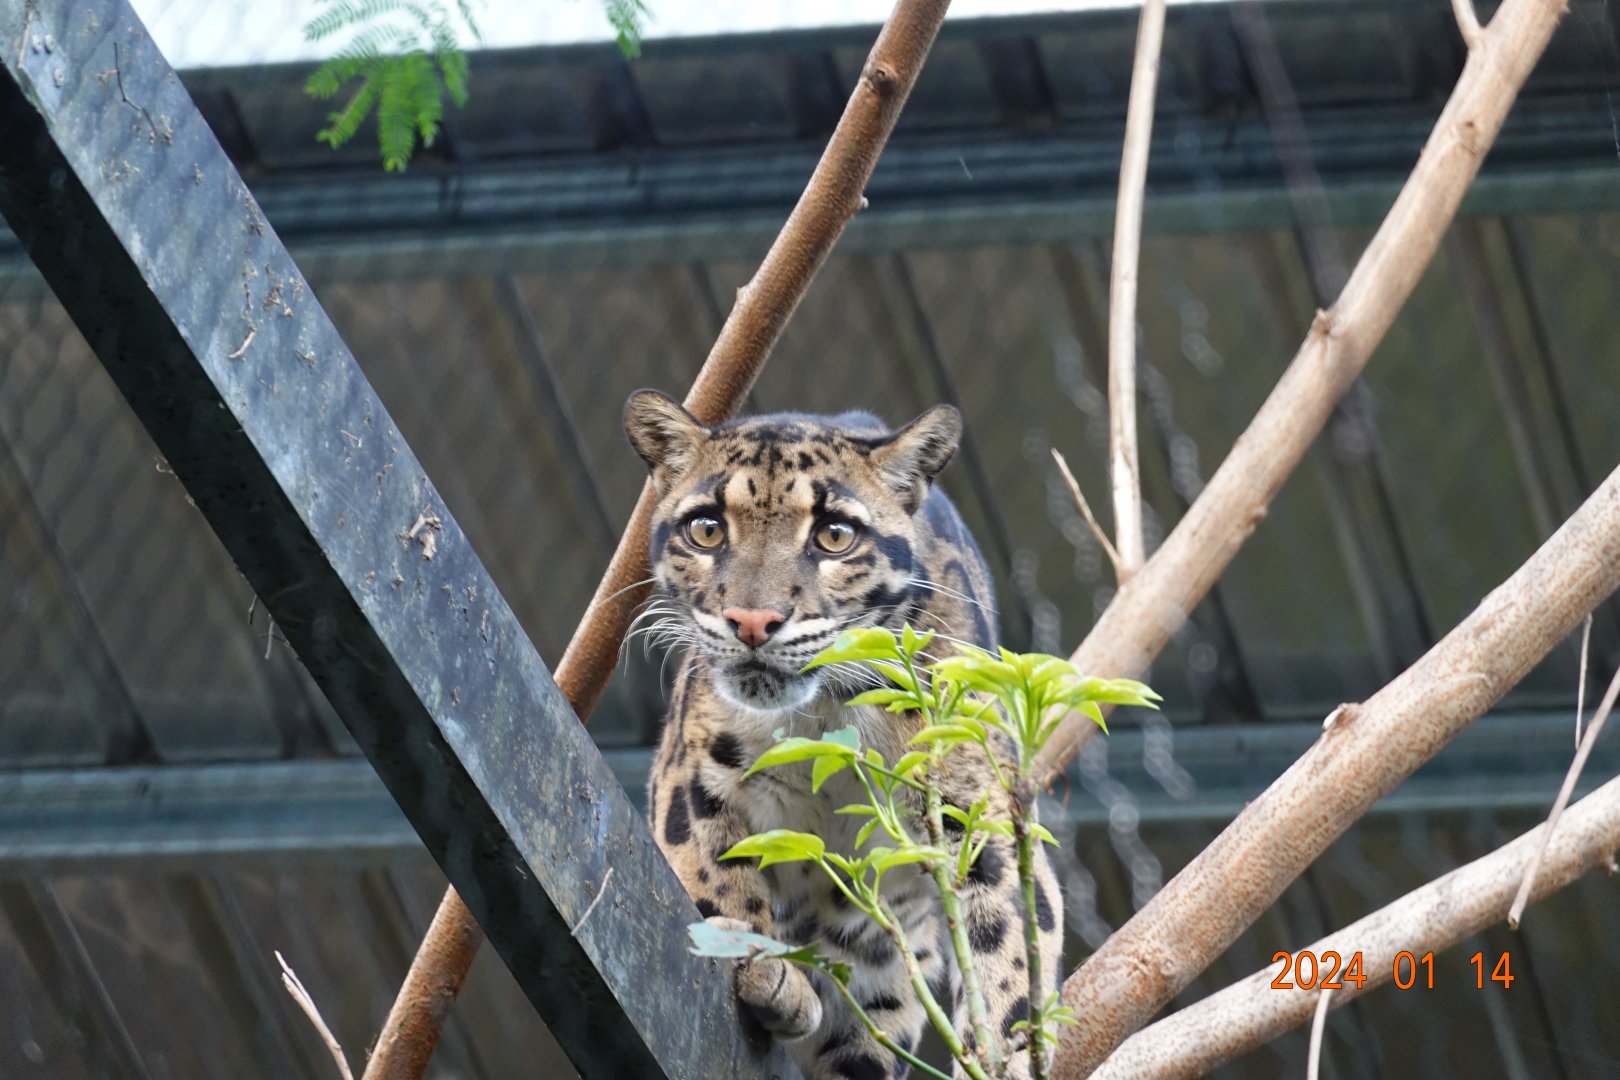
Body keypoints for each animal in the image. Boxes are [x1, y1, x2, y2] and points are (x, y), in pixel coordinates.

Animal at [623, 389, 1062, 1080]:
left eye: (834, 536)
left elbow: (1012, 942)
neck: (828, 714)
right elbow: (717, 882)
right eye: (707, 529)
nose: (753, 621)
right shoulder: (691, 778)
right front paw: (758, 960)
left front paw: (1006, 1058)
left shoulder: (982, 812)